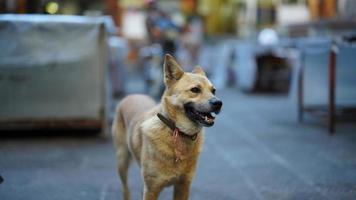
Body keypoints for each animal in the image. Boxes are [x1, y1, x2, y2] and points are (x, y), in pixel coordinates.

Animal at [112, 54, 222, 199]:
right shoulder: (152, 189)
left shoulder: (183, 186)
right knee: (125, 189)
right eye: (195, 90)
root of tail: (133, 94)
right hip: (122, 161)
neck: (177, 131)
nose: (218, 103)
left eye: (213, 91)